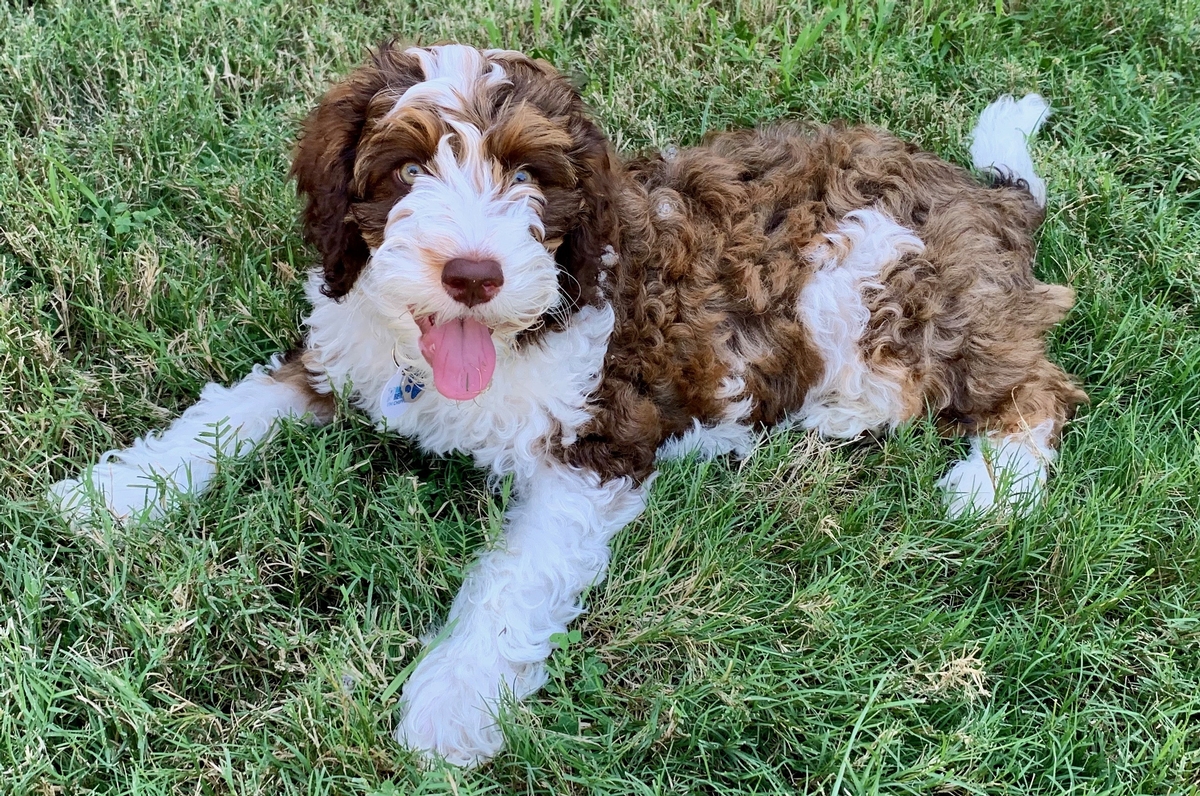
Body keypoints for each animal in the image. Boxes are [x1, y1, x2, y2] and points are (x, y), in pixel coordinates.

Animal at [54, 43, 1089, 768]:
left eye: (528, 175)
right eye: (405, 170)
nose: (473, 274)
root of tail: (988, 197)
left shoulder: (596, 447)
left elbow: (512, 583)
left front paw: (451, 705)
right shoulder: (341, 347)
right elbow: (233, 411)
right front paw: (116, 494)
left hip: (900, 289)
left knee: (1037, 387)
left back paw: (988, 489)